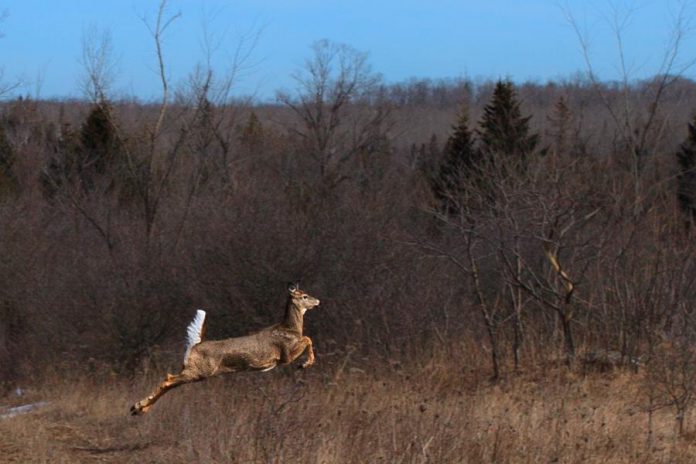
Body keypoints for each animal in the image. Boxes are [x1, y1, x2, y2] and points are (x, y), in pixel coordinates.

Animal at [130, 284, 320, 416]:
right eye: (304, 295)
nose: (318, 301)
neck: (290, 328)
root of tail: (195, 345)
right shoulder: (285, 354)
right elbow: (307, 339)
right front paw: (305, 364)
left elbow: (307, 339)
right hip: (200, 370)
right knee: (168, 380)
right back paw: (139, 406)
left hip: (196, 371)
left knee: (170, 382)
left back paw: (138, 409)